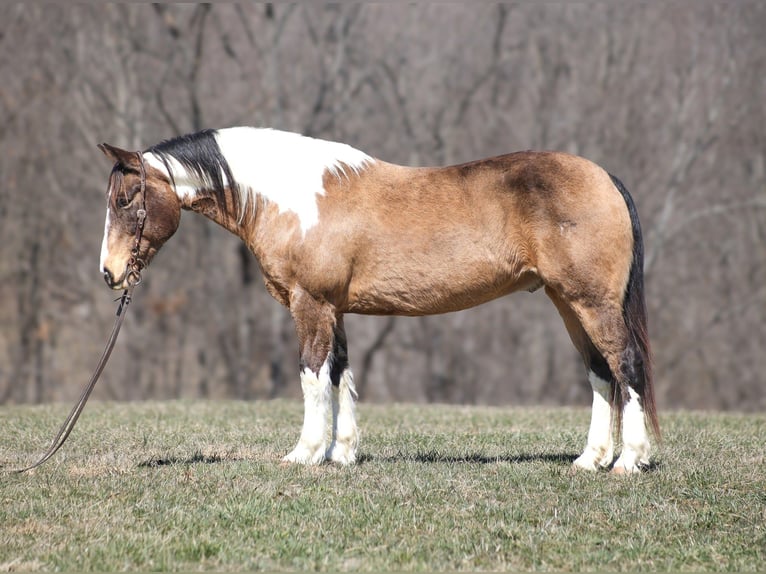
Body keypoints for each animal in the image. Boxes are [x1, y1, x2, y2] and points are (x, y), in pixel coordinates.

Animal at [98, 127, 660, 474]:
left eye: (126, 201)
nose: (109, 273)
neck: (292, 199)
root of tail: (605, 178)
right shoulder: (336, 309)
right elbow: (340, 375)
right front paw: (341, 453)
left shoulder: (311, 304)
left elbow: (311, 374)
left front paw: (305, 453)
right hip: (568, 303)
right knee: (600, 373)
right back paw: (591, 459)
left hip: (590, 302)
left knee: (626, 364)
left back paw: (629, 460)